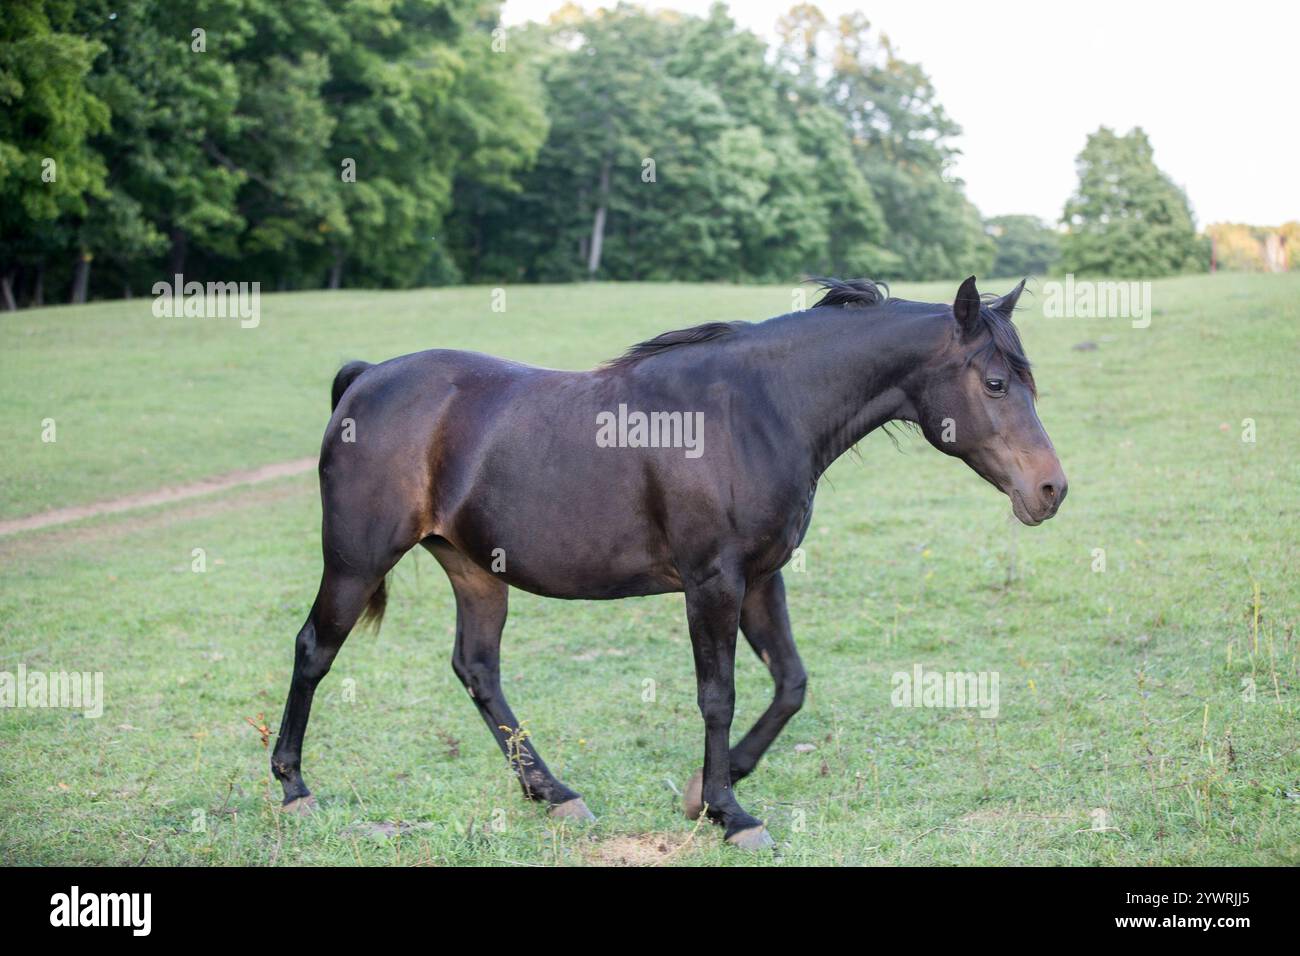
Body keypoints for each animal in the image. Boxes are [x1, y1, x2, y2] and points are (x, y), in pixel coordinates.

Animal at [270, 275, 1067, 849]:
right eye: (995, 383)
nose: (1050, 490)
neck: (758, 410)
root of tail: (368, 377)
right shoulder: (712, 583)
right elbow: (719, 696)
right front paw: (729, 813)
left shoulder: (761, 579)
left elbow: (791, 684)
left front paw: (708, 791)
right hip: (356, 560)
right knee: (314, 651)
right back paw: (295, 789)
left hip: (475, 571)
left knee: (477, 670)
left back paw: (554, 795)